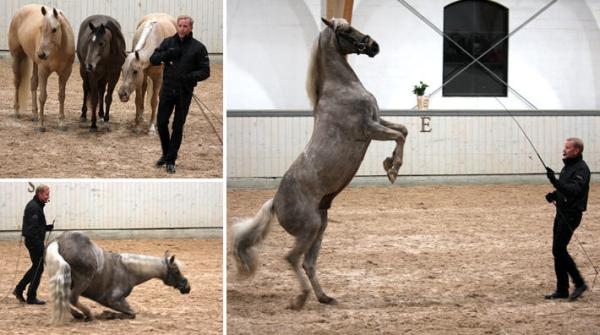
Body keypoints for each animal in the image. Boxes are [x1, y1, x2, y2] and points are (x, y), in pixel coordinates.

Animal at [8, 4, 75, 133]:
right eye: (40, 28)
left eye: (54, 29)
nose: (41, 54)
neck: (57, 51)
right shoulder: (43, 72)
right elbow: (43, 96)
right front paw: (41, 126)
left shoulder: (65, 74)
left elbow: (62, 96)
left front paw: (61, 123)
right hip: (17, 56)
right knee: (17, 82)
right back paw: (16, 112)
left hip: (35, 63)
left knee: (33, 83)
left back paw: (34, 115)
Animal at [44, 232, 190, 324]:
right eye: (176, 271)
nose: (187, 286)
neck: (127, 270)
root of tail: (58, 241)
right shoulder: (115, 300)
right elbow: (132, 313)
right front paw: (107, 314)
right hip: (82, 281)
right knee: (72, 298)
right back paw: (88, 315)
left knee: (64, 298)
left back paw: (79, 315)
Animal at [233, 18, 408, 312]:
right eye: (345, 31)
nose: (374, 46)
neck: (342, 89)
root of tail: (275, 202)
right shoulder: (369, 128)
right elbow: (399, 135)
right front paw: (393, 168)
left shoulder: (378, 120)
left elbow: (403, 130)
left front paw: (389, 164)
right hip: (310, 227)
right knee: (292, 259)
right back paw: (301, 298)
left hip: (320, 228)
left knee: (308, 263)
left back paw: (324, 297)